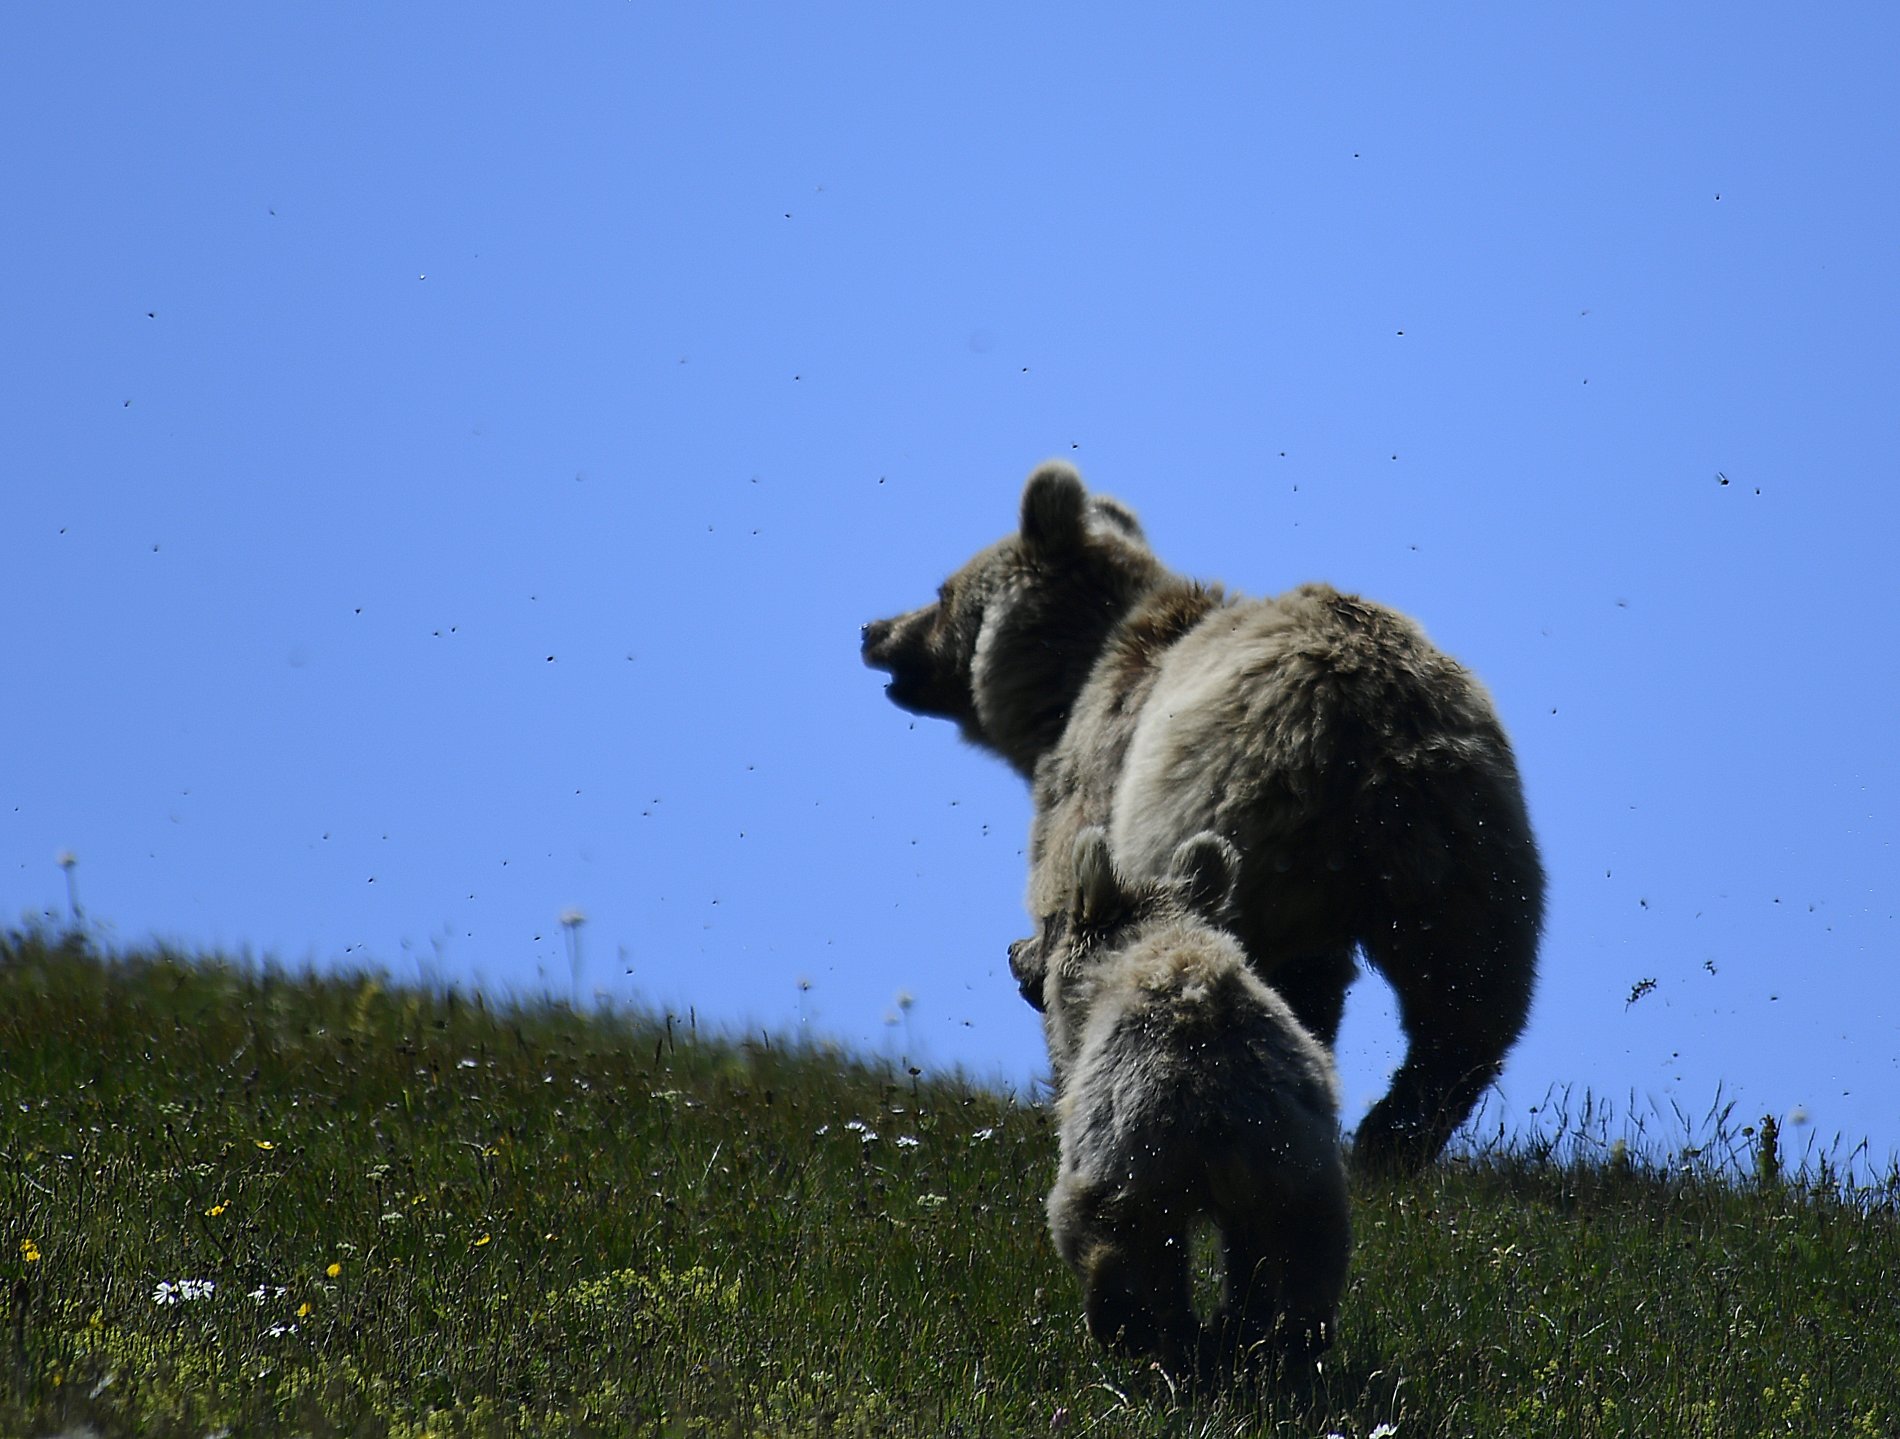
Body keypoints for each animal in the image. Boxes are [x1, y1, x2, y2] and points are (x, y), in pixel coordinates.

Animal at [862, 460, 1542, 1170]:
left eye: (941, 591)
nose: (874, 631)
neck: (1071, 683)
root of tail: (1369, 732)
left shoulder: (1102, 772)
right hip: (1468, 843)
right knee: (1467, 999)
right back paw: (1391, 1136)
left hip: (1233, 809)